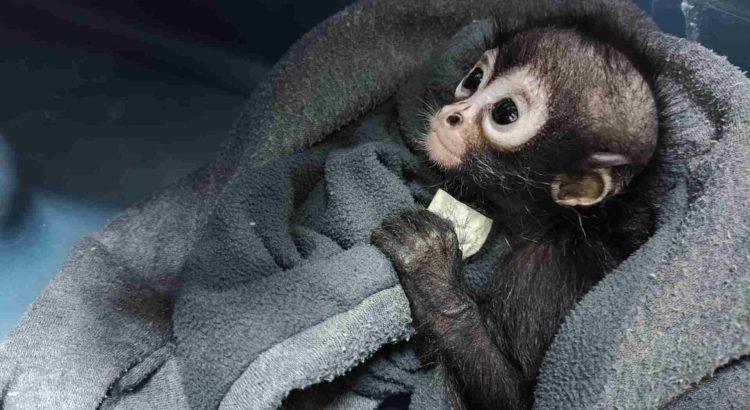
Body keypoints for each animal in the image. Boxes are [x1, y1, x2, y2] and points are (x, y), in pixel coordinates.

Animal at [371, 26, 659, 409]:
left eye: (505, 113)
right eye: (474, 79)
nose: (452, 115)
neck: (562, 221)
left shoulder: (542, 274)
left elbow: (515, 398)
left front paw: (429, 271)